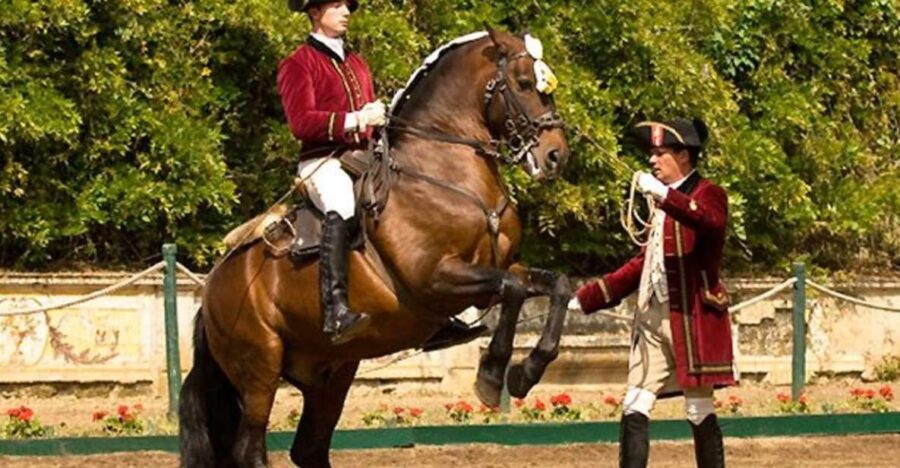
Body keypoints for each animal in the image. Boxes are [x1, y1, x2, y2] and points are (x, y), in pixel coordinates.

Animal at [179, 28, 571, 468]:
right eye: (523, 84)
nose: (556, 155)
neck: (446, 171)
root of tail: (213, 286)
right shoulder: (437, 279)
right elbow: (514, 289)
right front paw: (491, 373)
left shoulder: (500, 268)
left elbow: (556, 285)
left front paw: (527, 371)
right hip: (259, 369)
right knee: (249, 449)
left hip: (331, 372)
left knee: (309, 448)